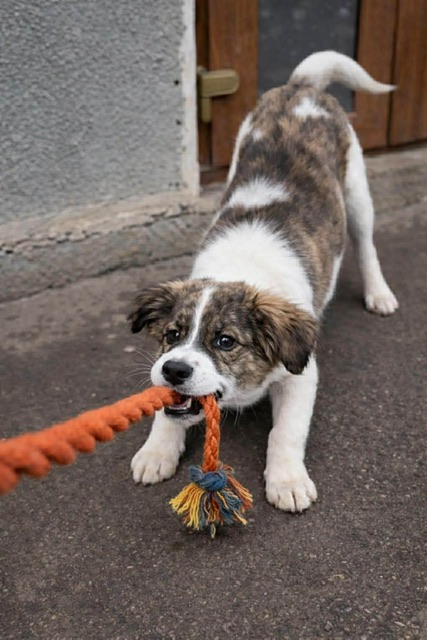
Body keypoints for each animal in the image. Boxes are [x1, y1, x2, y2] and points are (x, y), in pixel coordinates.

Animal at [128, 51, 398, 513]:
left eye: (225, 342)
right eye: (171, 334)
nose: (175, 368)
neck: (241, 268)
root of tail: (301, 87)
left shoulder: (302, 373)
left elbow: (285, 432)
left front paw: (287, 479)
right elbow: (167, 407)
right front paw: (156, 450)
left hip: (357, 190)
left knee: (366, 244)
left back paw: (379, 293)